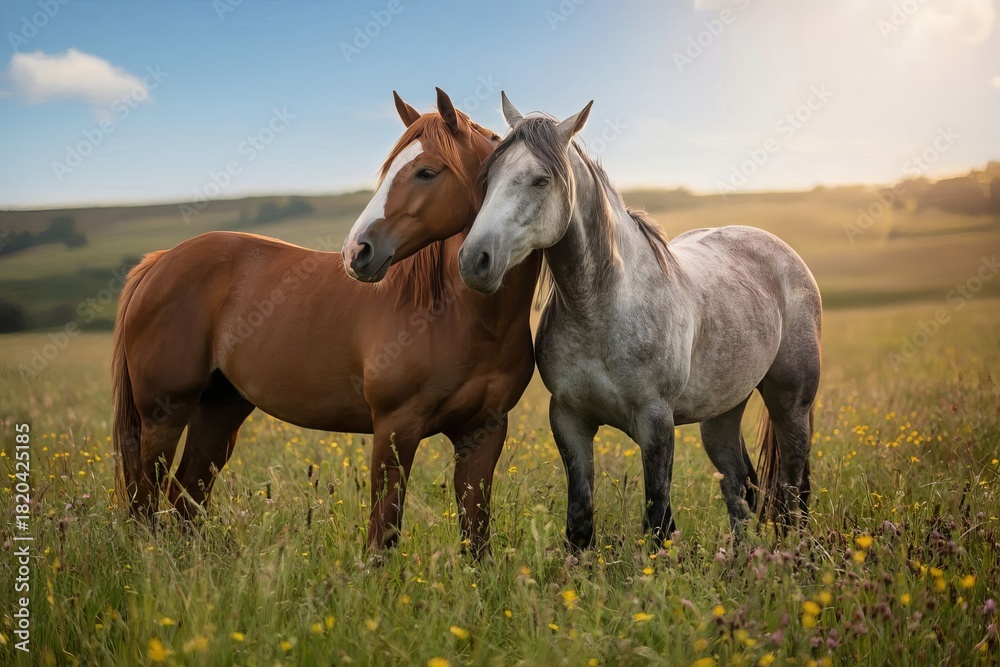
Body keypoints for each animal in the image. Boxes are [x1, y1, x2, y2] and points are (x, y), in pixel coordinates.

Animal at [112, 88, 541, 556]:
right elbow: (382, 534)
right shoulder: (395, 428)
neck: (458, 315)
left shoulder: (482, 433)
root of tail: (158, 262)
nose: (357, 251)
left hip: (219, 410)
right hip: (163, 415)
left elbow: (476, 535)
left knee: (185, 499)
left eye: (427, 172)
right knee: (146, 503)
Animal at [457, 94, 822, 548]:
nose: (474, 260)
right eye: (489, 177)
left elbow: (658, 521)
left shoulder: (656, 421)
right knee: (737, 487)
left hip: (791, 403)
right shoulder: (569, 420)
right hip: (722, 414)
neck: (603, 306)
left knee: (792, 490)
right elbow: (580, 523)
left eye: (541, 180)